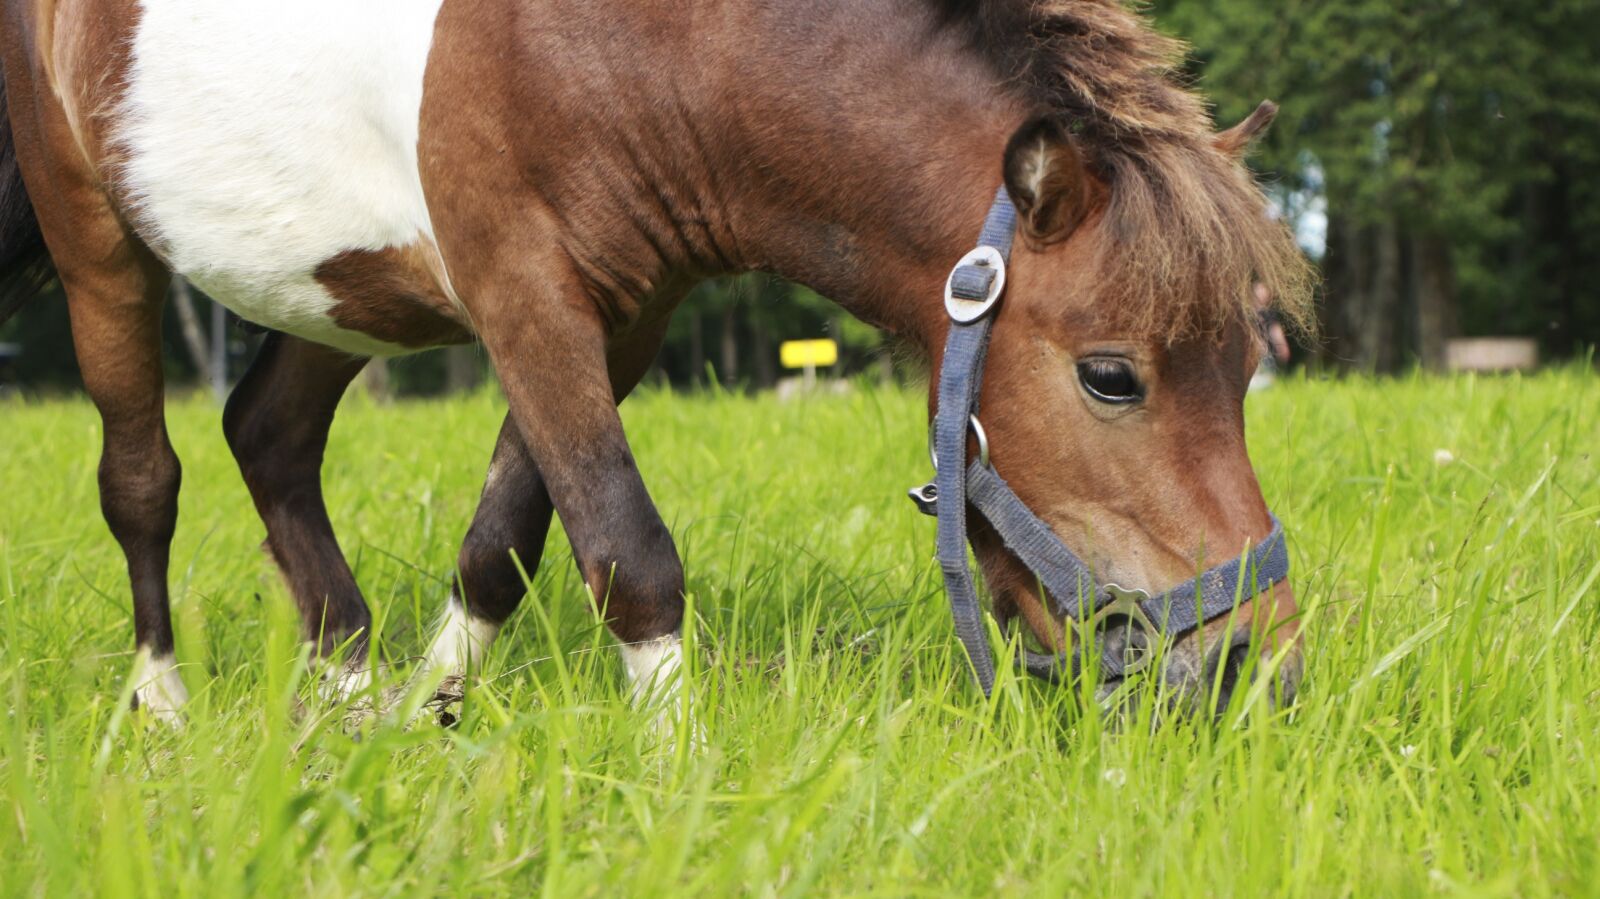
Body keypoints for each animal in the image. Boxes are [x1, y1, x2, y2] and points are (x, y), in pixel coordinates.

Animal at [0, 0, 1314, 724]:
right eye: (1111, 375)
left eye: (1252, 360)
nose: (1255, 666)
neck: (642, 40)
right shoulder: (522, 293)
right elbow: (627, 551)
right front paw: (680, 769)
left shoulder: (619, 316)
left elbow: (500, 543)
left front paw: (425, 717)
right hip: (91, 236)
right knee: (142, 479)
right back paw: (159, 702)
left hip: (346, 297)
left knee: (266, 432)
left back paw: (344, 689)